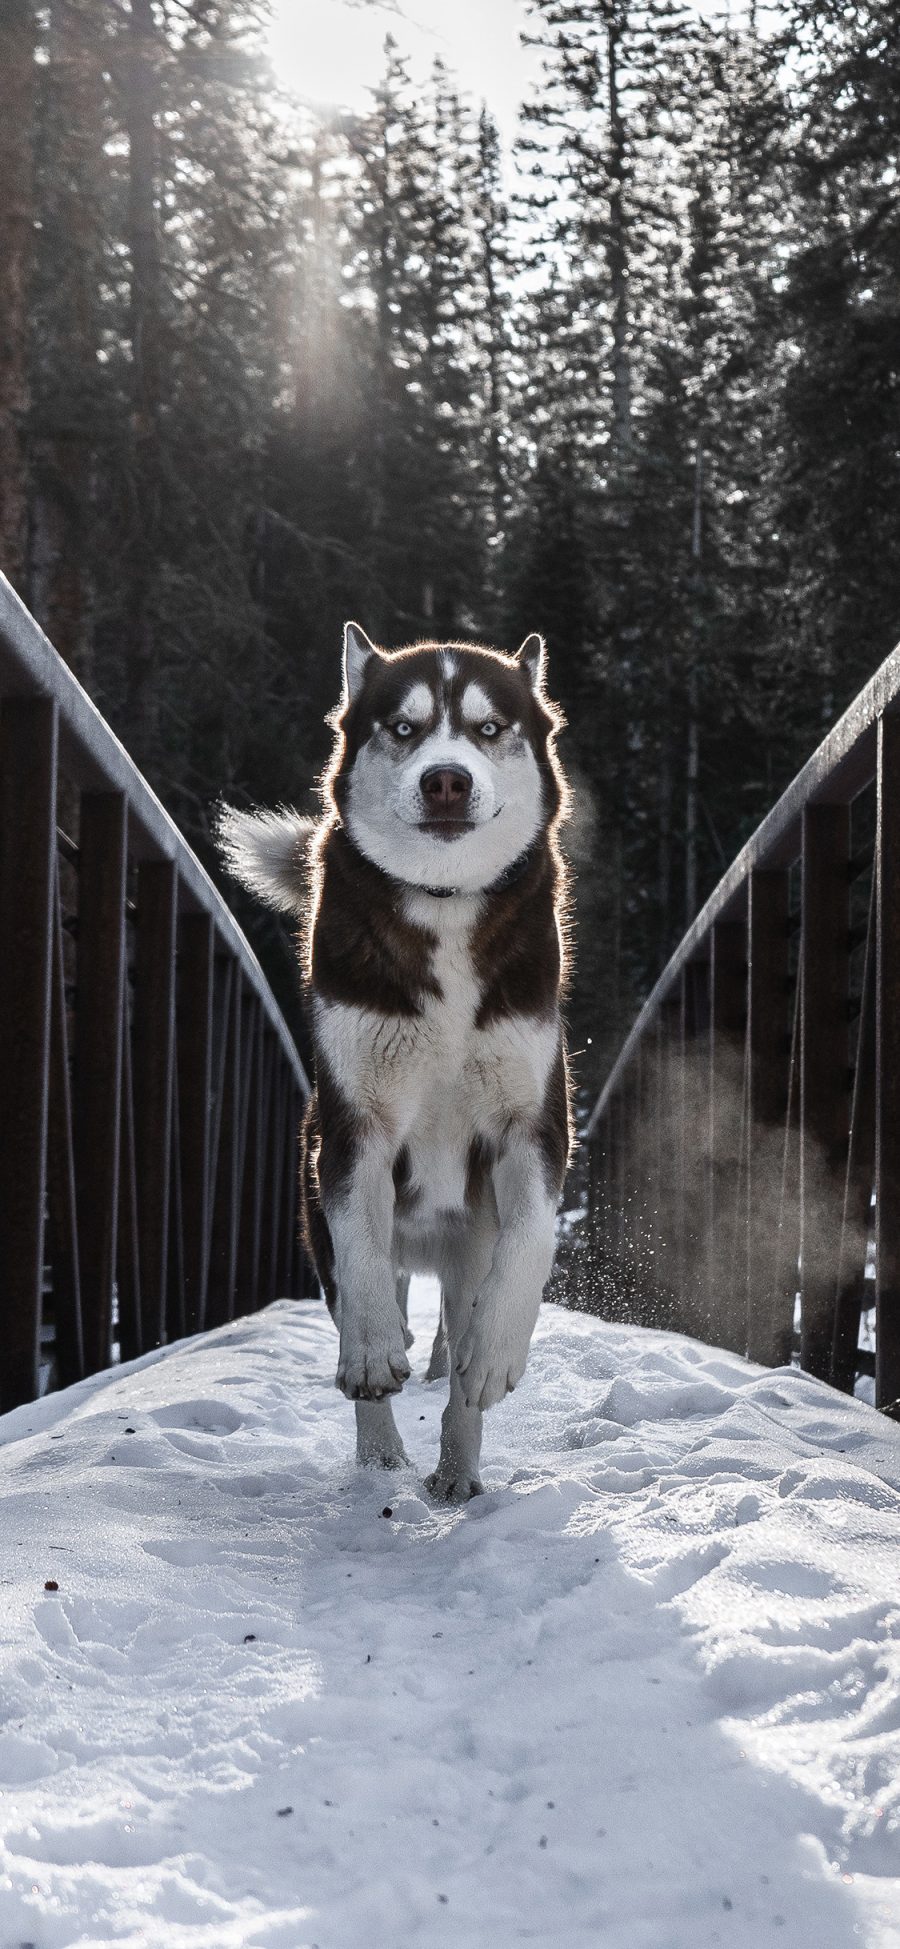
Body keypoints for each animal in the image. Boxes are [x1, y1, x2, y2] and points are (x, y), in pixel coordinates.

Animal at [218, 627, 568, 1504]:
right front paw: (376, 1347)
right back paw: (381, 1450)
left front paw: (496, 1351)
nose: (446, 779)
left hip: (469, 1237)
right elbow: (362, 1257)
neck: (442, 906)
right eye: (404, 729)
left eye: (488, 728)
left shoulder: (534, 1121)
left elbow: (533, 1238)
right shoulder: (349, 1128)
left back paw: (457, 1465)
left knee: (460, 1341)